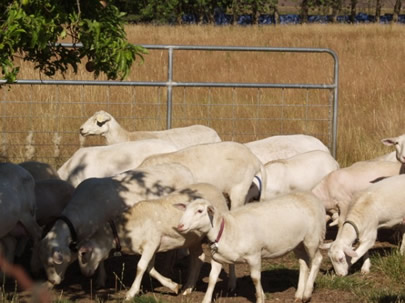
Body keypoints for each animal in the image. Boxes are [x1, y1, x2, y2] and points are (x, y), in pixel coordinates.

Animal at [38, 163, 194, 286]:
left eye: (52, 263)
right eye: (43, 263)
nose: (52, 281)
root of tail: (185, 170)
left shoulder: (102, 233)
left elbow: (100, 259)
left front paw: (100, 279)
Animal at [77, 183, 232, 302]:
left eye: (83, 254)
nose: (85, 275)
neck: (124, 229)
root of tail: (215, 188)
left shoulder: (152, 243)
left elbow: (141, 267)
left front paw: (131, 293)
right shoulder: (150, 247)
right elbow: (149, 268)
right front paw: (172, 285)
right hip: (193, 239)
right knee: (198, 258)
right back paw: (188, 287)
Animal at [176, 192, 326, 303]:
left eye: (200, 211)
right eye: (186, 209)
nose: (180, 226)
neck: (227, 229)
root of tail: (313, 197)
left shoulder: (254, 255)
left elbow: (255, 278)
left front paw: (260, 298)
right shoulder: (216, 259)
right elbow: (212, 279)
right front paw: (206, 300)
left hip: (312, 238)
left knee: (317, 259)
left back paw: (307, 293)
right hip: (298, 242)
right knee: (304, 263)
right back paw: (299, 295)